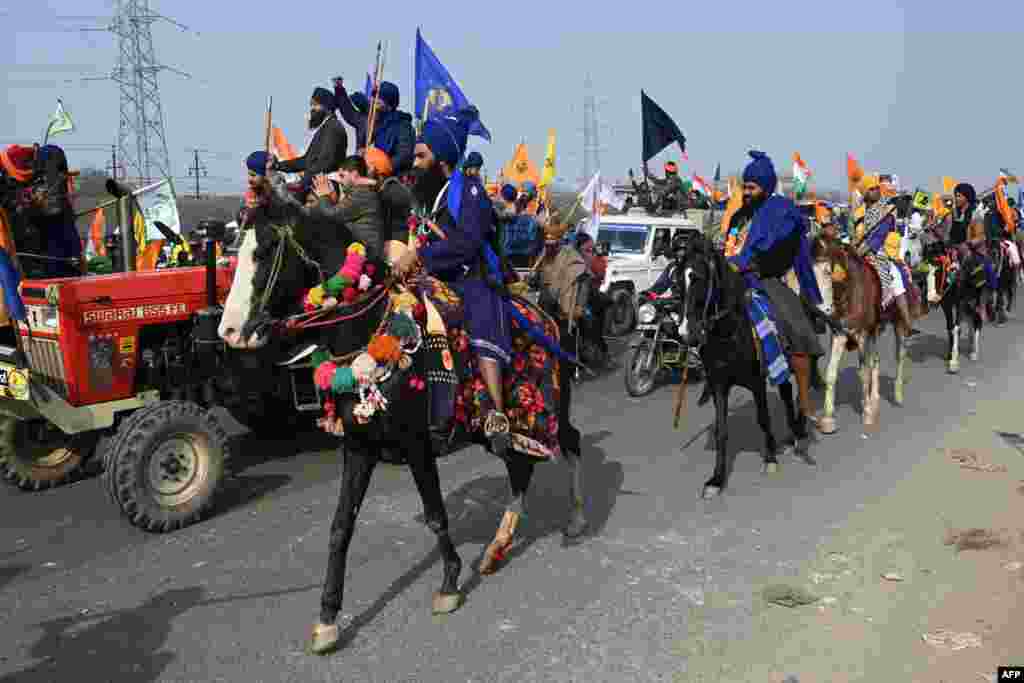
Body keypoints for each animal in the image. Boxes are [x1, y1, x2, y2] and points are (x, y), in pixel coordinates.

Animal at [222, 216, 593, 655]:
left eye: (263, 252)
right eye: (235, 250)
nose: (229, 331)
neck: (369, 335)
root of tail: (548, 313)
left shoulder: (418, 444)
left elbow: (435, 514)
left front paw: (449, 584)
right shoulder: (359, 448)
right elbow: (340, 527)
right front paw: (327, 618)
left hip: (547, 408)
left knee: (570, 443)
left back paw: (575, 519)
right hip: (510, 424)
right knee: (521, 468)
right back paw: (496, 548)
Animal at [675, 232, 811, 499]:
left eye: (699, 278)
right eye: (678, 282)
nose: (687, 334)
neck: (729, 332)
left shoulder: (756, 380)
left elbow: (763, 418)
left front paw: (770, 458)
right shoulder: (718, 384)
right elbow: (722, 430)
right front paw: (717, 479)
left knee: (792, 391)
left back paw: (797, 432)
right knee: (787, 391)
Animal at [811, 236, 925, 432]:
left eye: (827, 272)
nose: (822, 310)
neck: (849, 291)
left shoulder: (862, 335)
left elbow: (863, 373)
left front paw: (867, 414)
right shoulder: (839, 335)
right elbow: (831, 372)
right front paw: (828, 418)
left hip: (899, 324)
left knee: (900, 356)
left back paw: (897, 395)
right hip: (875, 331)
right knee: (876, 360)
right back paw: (874, 398)